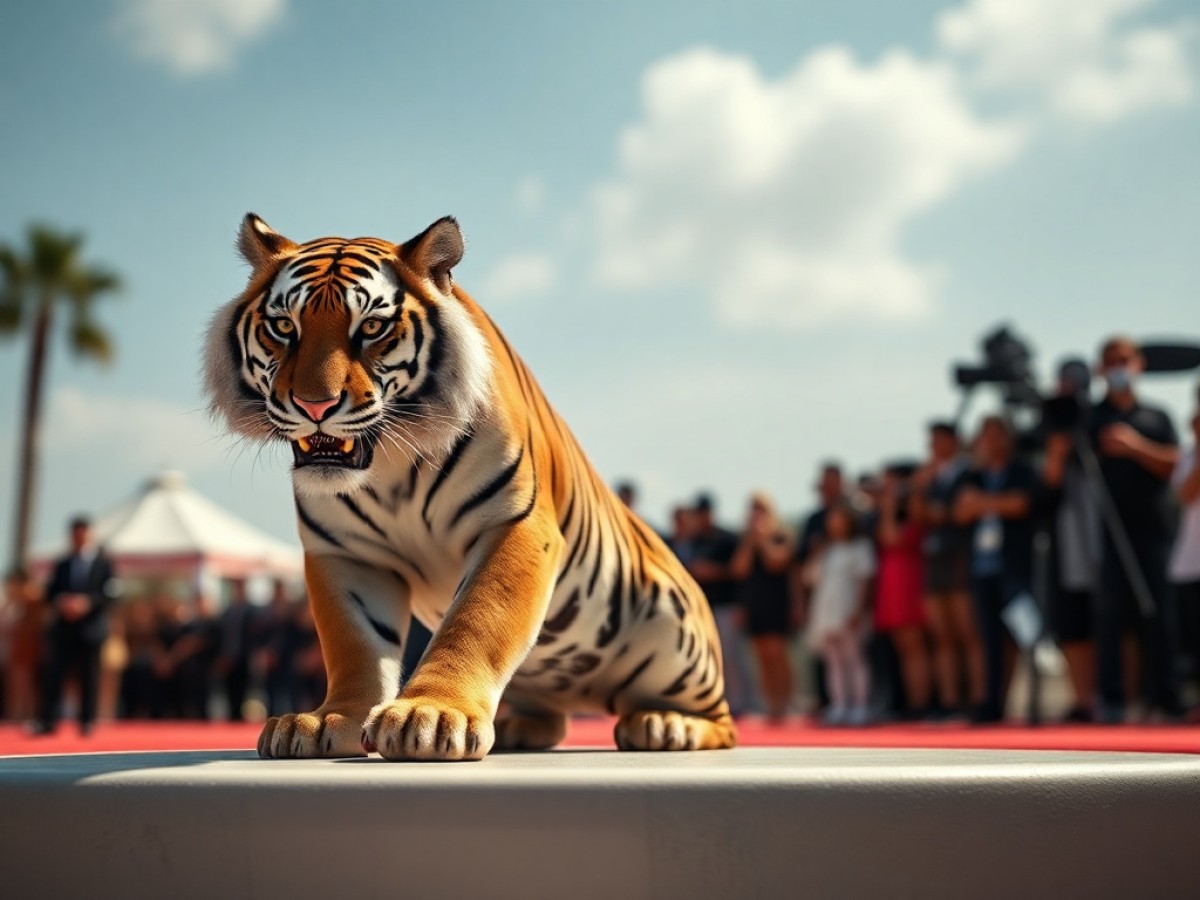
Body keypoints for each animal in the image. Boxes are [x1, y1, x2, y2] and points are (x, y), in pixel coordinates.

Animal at [203, 213, 737, 760]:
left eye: (371, 327)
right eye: (284, 327)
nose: (315, 405)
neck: (390, 465)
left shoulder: (515, 523)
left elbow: (476, 620)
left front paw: (432, 715)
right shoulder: (345, 552)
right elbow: (353, 643)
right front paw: (327, 719)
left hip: (675, 636)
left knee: (723, 720)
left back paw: (666, 725)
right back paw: (522, 727)